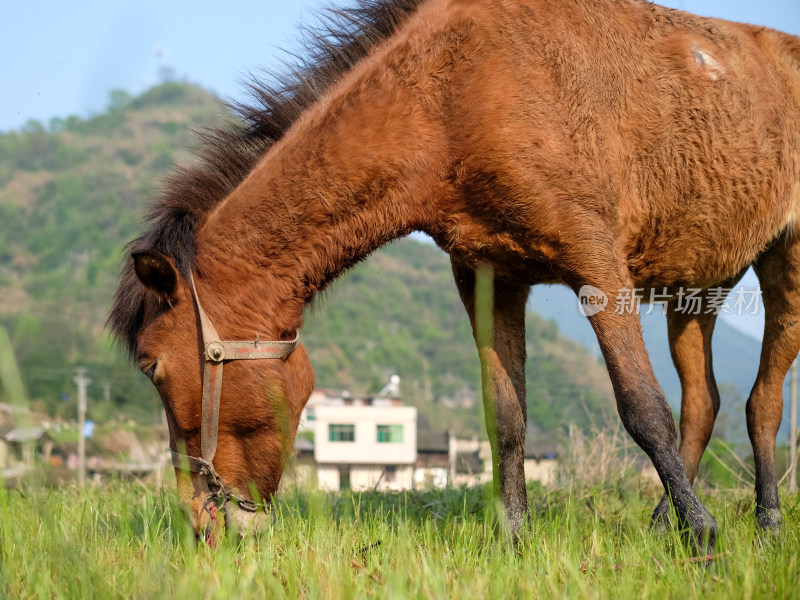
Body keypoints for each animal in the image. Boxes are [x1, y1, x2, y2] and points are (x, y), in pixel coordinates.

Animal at [108, 0, 800, 552]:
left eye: (152, 367)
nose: (199, 524)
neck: (451, 97)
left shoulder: (597, 263)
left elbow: (642, 408)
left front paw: (703, 532)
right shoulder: (490, 278)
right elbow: (507, 419)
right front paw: (515, 540)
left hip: (785, 264)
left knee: (761, 402)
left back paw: (763, 524)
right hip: (699, 285)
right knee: (705, 403)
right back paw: (665, 522)